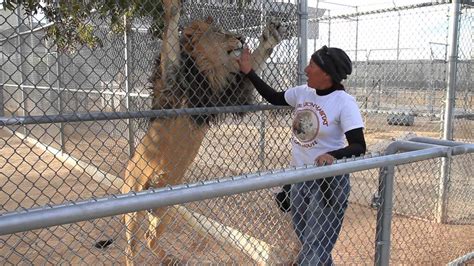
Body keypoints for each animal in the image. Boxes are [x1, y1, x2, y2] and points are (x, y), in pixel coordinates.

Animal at [120, 0, 286, 262]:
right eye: (219, 32)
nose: (241, 38)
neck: (209, 69)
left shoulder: (226, 96)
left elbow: (252, 65)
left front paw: (269, 39)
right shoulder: (170, 81)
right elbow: (169, 40)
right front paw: (173, 9)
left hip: (164, 212)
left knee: (149, 238)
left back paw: (170, 260)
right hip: (132, 204)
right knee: (131, 247)